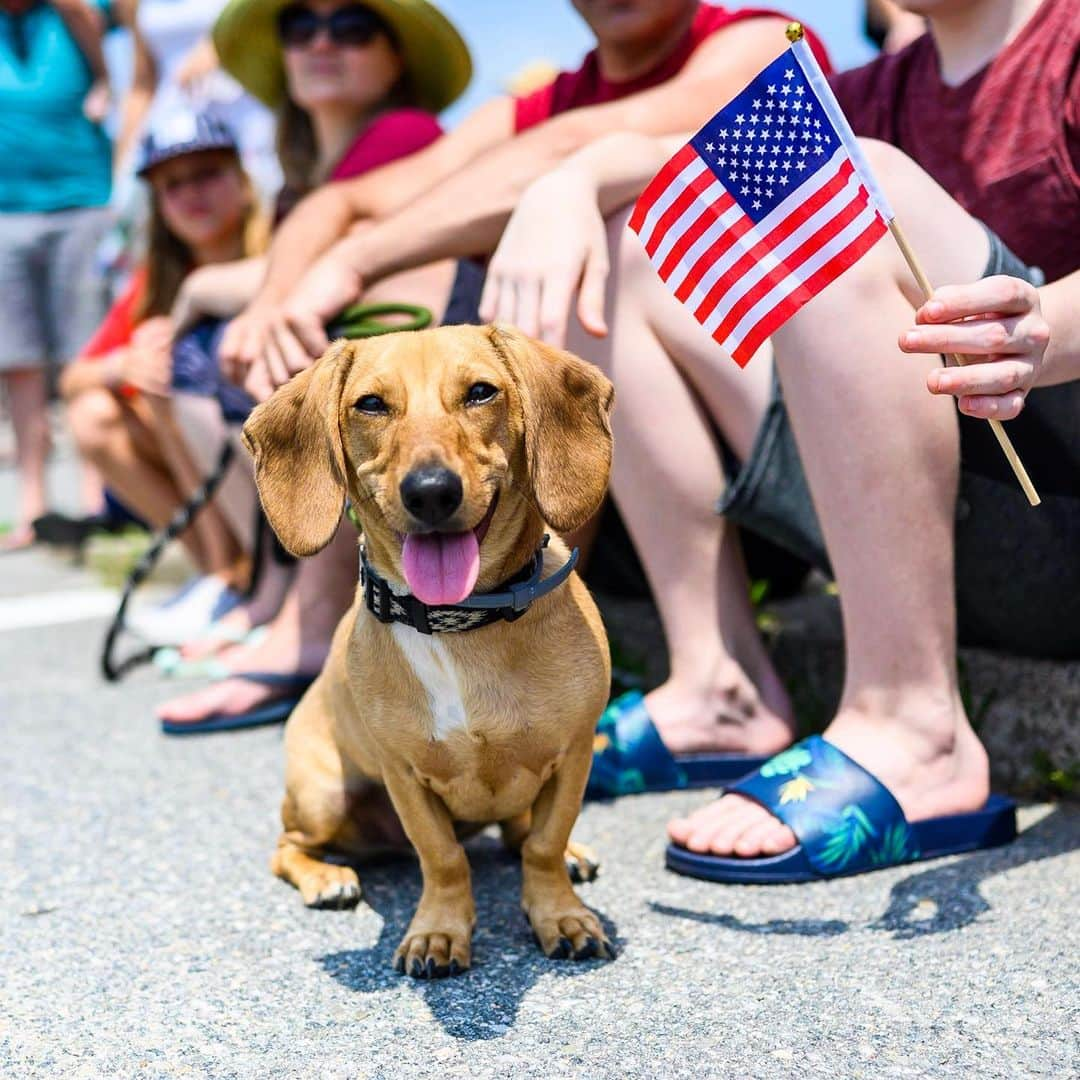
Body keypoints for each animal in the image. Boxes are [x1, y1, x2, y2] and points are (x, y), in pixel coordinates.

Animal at [244, 321, 617, 980]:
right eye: (370, 404)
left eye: (481, 392)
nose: (431, 492)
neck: (459, 621)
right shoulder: (404, 775)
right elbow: (442, 858)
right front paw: (438, 932)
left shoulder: (574, 753)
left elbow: (543, 845)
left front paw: (561, 914)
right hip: (322, 796)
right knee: (287, 847)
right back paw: (326, 878)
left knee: (520, 831)